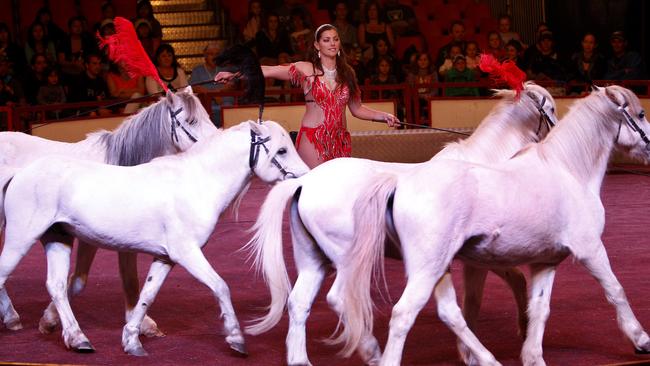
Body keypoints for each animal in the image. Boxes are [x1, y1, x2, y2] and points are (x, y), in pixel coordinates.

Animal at [0, 86, 215, 338]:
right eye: (191, 121)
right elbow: (128, 278)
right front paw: (141, 322)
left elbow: (79, 280)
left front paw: (49, 319)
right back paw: (11, 316)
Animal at [0, 120, 308, 354]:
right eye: (281, 150)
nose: (304, 179)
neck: (197, 182)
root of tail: (20, 173)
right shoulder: (187, 253)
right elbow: (220, 286)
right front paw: (235, 338)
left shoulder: (165, 258)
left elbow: (146, 295)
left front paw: (132, 340)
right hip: (20, 238)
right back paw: (14, 320)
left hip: (58, 240)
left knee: (57, 286)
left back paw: (77, 339)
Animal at [243, 83, 556, 366]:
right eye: (551, 108)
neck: (483, 167)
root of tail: (305, 182)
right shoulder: (479, 256)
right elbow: (478, 299)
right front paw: (479, 350)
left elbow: (509, 282)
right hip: (346, 260)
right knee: (340, 298)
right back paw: (372, 350)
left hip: (313, 258)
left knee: (299, 303)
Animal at [346, 86, 650, 366]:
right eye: (641, 114)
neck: (568, 170)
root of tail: (399, 184)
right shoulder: (590, 249)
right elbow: (616, 290)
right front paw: (640, 339)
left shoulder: (544, 261)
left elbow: (538, 307)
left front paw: (531, 354)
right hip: (425, 269)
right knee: (401, 314)